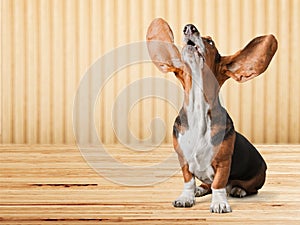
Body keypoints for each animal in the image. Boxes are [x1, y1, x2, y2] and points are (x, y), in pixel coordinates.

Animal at [146, 18, 278, 214]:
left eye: (210, 42)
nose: (189, 27)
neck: (198, 110)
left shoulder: (223, 163)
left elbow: (219, 184)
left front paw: (219, 203)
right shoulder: (183, 160)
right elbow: (188, 181)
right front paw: (187, 197)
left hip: (257, 176)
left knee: (246, 187)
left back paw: (238, 189)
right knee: (206, 184)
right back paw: (200, 189)